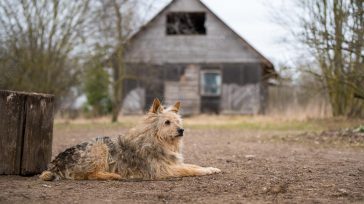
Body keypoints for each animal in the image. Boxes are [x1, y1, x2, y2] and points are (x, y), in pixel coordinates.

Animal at [41, 98, 220, 181]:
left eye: (178, 122)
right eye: (167, 122)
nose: (181, 130)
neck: (157, 140)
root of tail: (55, 162)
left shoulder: (171, 163)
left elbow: (193, 165)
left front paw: (211, 168)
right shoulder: (162, 170)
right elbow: (189, 169)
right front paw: (205, 171)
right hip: (100, 146)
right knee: (89, 175)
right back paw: (112, 175)